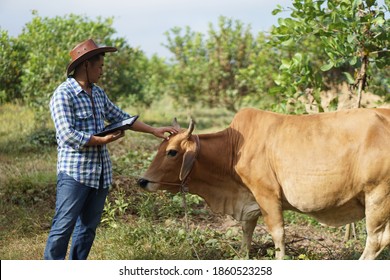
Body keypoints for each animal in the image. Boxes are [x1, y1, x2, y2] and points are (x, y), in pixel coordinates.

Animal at [138, 107, 390, 260]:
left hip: (377, 196)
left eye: (172, 152)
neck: (233, 150)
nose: (143, 181)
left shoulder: (267, 194)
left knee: (375, 240)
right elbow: (246, 231)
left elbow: (278, 234)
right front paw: (242, 256)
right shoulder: (249, 201)